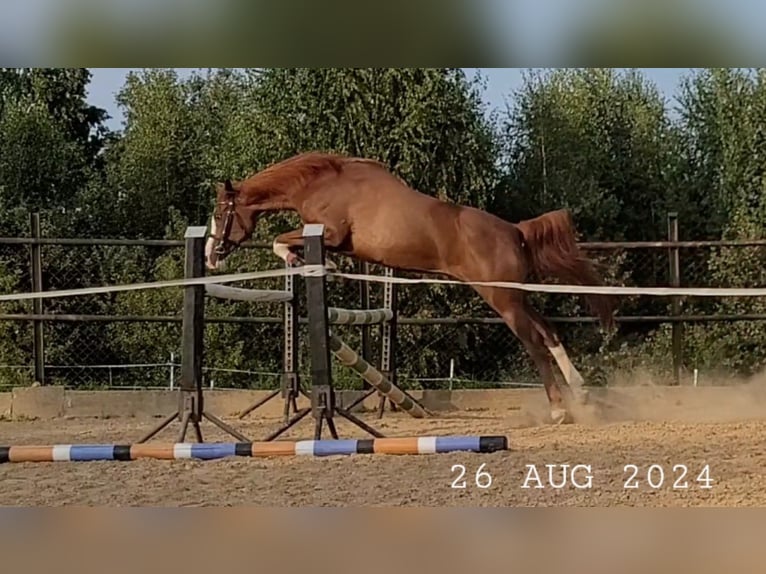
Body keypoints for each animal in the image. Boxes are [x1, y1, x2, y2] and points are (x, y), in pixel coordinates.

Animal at [205, 151, 617, 424]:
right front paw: (315, 263)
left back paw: (559, 409)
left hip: (502, 300)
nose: (210, 256)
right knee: (549, 332)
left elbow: (281, 240)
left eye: (220, 214)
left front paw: (308, 261)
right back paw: (581, 394)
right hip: (515, 295)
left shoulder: (331, 233)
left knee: (534, 343)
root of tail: (515, 231)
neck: (322, 183)